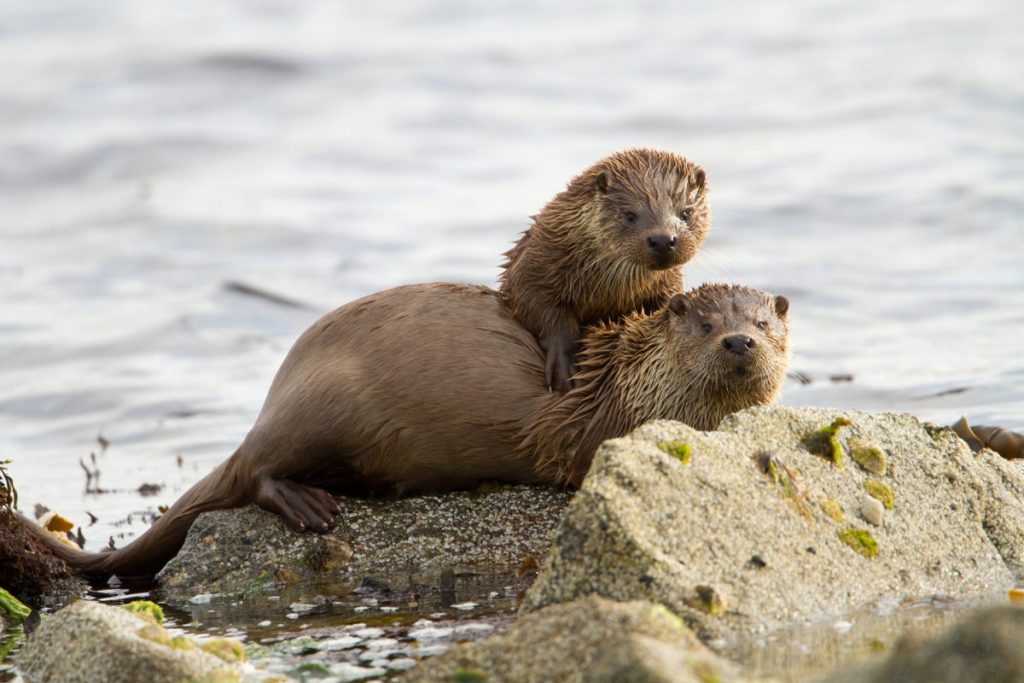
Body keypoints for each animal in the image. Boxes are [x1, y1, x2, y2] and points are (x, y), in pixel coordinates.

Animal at [28, 280, 786, 581]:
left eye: (763, 320)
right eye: (704, 323)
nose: (740, 341)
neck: (624, 381)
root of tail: (275, 397)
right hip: (322, 406)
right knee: (258, 470)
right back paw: (310, 505)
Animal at [499, 149, 708, 395]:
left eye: (686, 213)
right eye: (629, 215)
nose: (663, 240)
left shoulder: (667, 283)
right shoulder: (534, 265)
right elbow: (537, 305)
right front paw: (563, 362)